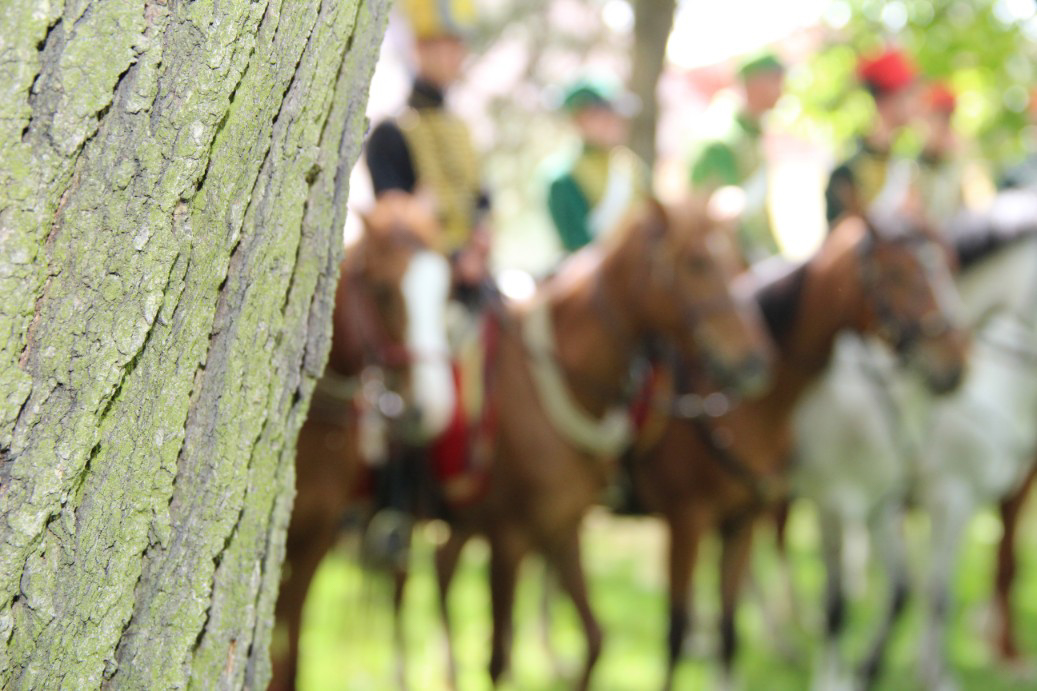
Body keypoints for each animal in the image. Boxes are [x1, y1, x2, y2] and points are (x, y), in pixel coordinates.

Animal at [432, 198, 774, 691]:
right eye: (697, 262)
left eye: (741, 262)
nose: (754, 363)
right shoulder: (509, 536)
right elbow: (498, 660)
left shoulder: (561, 525)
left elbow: (594, 639)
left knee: (442, 565)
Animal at [629, 213, 969, 690]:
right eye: (899, 274)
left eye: (950, 266)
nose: (956, 361)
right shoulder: (821, 503)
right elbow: (836, 604)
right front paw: (835, 675)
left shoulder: (871, 503)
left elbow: (902, 591)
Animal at [791, 189, 1037, 690]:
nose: (954, 369)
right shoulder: (944, 497)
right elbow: (932, 594)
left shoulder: (961, 501)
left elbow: (937, 590)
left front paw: (937, 669)